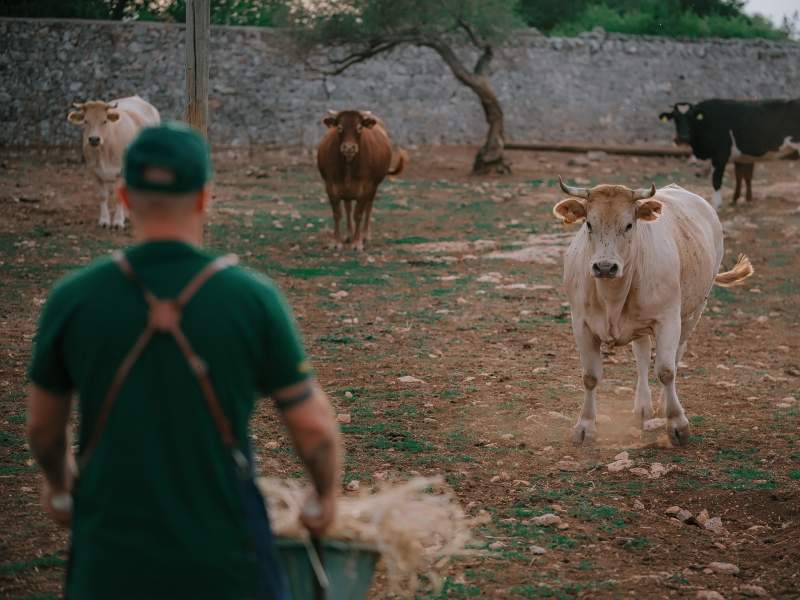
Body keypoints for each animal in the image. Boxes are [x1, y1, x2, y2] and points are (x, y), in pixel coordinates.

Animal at [68, 96, 160, 227]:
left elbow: (118, 197)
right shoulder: (95, 173)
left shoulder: (121, 171)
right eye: (86, 121)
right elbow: (103, 196)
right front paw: (104, 220)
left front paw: (118, 221)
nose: (94, 139)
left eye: (105, 121)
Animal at [318, 109, 406, 250]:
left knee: (368, 207)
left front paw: (357, 243)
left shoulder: (366, 187)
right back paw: (349, 234)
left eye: (359, 127)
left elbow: (358, 214)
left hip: (373, 187)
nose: (349, 148)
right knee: (348, 207)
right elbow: (337, 214)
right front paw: (337, 242)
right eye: (339, 127)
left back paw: (365, 236)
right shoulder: (330, 186)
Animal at [552, 178, 752, 446]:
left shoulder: (668, 320)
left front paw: (677, 423)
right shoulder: (581, 324)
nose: (604, 266)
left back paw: (663, 403)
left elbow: (666, 371)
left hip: (693, 313)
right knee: (643, 356)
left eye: (629, 224)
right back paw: (643, 406)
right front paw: (585, 426)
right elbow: (590, 377)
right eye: (588, 224)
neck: (612, 297)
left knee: (676, 356)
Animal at [660, 98, 796, 209]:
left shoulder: (720, 155)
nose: (682, 138)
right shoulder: (740, 157)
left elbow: (716, 180)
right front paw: (736, 199)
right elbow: (741, 176)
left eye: (691, 117)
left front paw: (716, 205)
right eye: (675, 117)